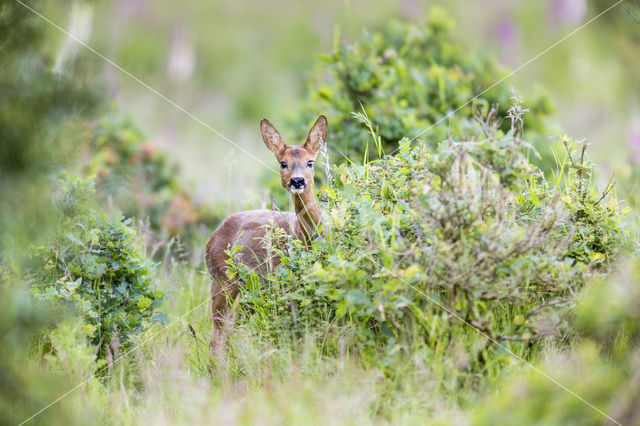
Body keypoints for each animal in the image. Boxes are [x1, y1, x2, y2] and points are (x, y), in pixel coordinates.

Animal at [205, 113, 328, 342]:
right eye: (283, 163)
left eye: (310, 162)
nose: (297, 181)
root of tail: (210, 239)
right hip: (223, 278)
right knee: (219, 330)